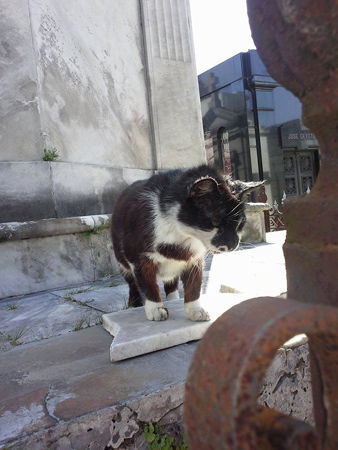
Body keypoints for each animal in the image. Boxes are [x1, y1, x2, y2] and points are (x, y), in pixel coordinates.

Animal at [112, 166, 262, 324]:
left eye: (240, 222)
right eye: (214, 222)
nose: (233, 245)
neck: (182, 236)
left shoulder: (195, 258)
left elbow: (194, 284)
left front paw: (196, 310)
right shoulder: (138, 256)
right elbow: (147, 282)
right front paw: (155, 309)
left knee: (171, 280)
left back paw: (172, 298)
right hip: (121, 259)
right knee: (132, 282)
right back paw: (134, 303)